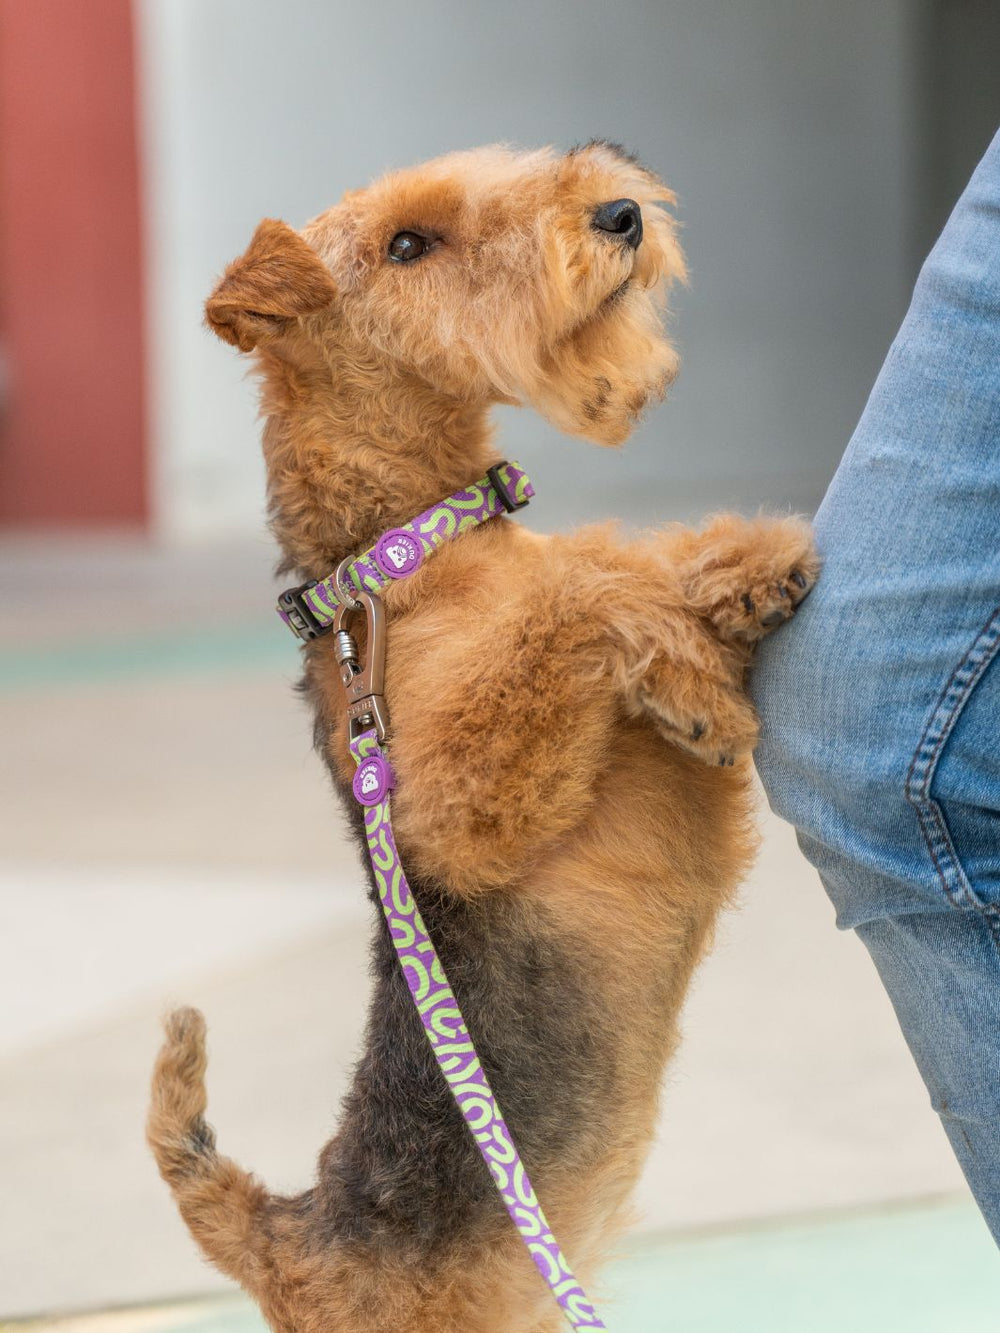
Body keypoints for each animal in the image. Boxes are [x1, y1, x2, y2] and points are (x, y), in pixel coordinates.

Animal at [148, 142, 818, 1332]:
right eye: (406, 244)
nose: (619, 212)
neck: (402, 555)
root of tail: (283, 1238)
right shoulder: (454, 811)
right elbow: (586, 588)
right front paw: (698, 685)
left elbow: (633, 558)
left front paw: (746, 568)